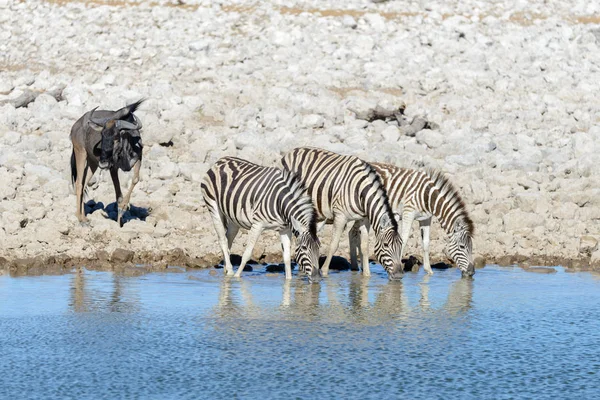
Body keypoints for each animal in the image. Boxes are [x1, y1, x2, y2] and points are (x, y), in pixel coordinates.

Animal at [282, 145, 404, 280]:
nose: (399, 275)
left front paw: (366, 275)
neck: (361, 191)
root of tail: (293, 150)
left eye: (401, 244)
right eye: (386, 245)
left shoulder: (364, 219)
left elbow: (364, 247)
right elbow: (333, 245)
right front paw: (324, 271)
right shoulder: (340, 216)